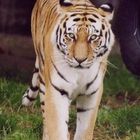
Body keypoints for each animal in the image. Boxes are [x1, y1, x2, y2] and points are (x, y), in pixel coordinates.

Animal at [21, 0, 114, 139]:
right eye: (71, 36)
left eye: (93, 37)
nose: (80, 60)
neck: (79, 74)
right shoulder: (56, 91)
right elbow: (57, 128)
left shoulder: (92, 94)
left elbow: (85, 130)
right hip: (43, 84)